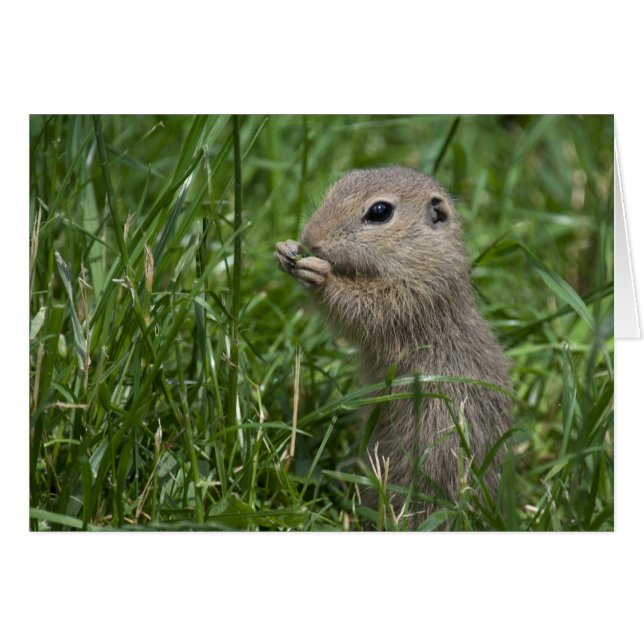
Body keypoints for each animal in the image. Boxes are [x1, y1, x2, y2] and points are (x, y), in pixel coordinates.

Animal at [275, 166, 512, 527]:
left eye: (379, 211)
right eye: (337, 186)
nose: (310, 238)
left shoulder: (413, 294)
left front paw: (319, 274)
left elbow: (363, 309)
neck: (422, 255)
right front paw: (285, 249)